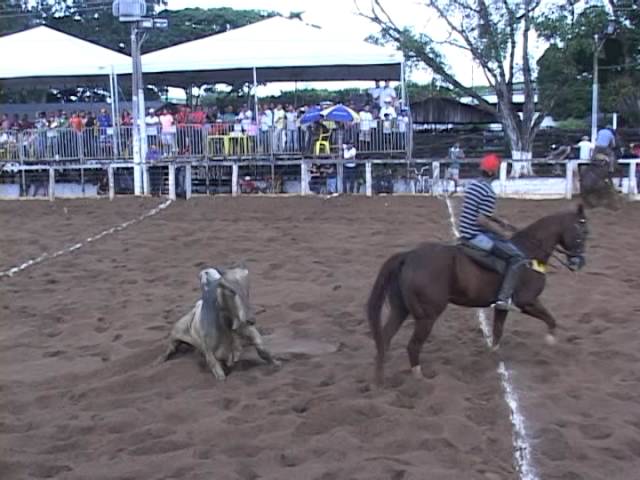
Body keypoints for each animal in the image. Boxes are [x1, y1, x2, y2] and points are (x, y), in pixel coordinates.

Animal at [368, 204, 588, 384]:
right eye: (582, 232)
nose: (578, 262)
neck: (529, 254)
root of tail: (408, 256)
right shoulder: (527, 301)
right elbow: (550, 319)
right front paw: (550, 340)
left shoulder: (503, 306)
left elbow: (498, 330)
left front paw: (494, 356)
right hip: (427, 317)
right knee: (412, 346)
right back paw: (419, 378)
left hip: (400, 309)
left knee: (384, 339)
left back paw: (380, 379)